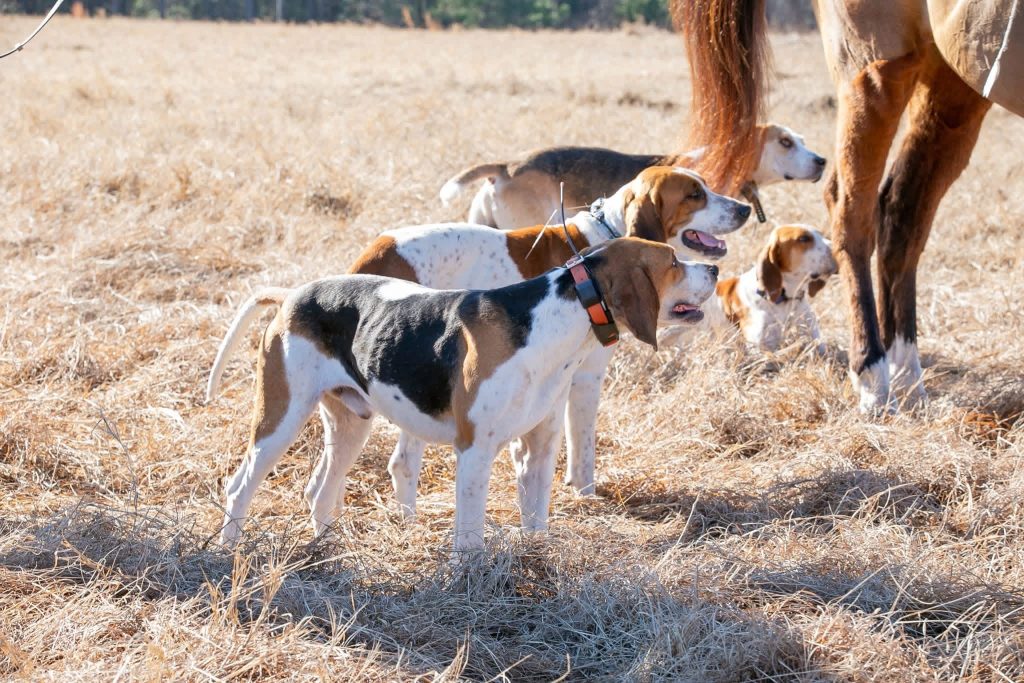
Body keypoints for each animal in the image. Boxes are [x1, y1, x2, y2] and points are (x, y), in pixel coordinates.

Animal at [672, 0, 1023, 412]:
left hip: (953, 79)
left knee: (902, 210)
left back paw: (906, 378)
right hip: (874, 67)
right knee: (853, 211)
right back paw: (874, 375)